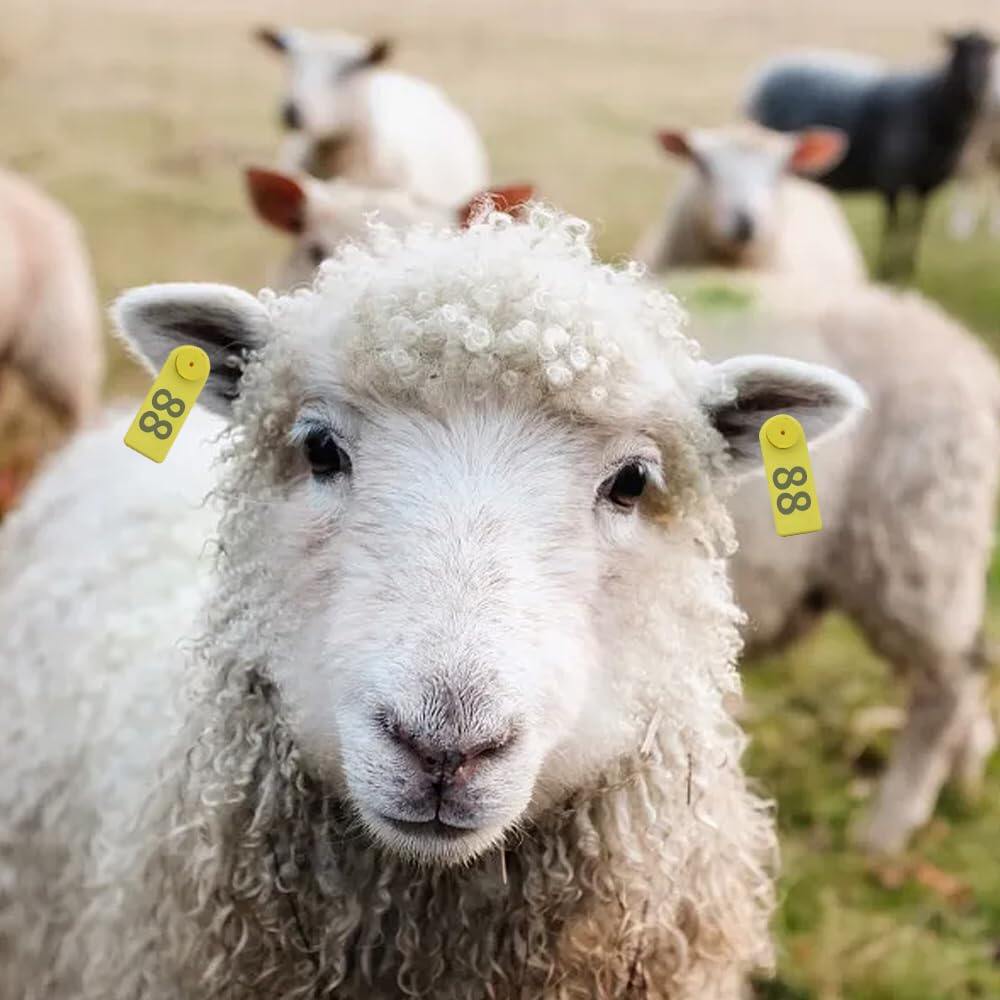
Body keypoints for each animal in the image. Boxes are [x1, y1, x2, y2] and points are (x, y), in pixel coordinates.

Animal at [745, 31, 997, 281]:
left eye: (989, 54)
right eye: (959, 50)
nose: (977, 86)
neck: (929, 105)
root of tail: (764, 73)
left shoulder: (926, 185)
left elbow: (914, 227)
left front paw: (907, 269)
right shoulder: (891, 180)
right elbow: (893, 227)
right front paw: (887, 271)